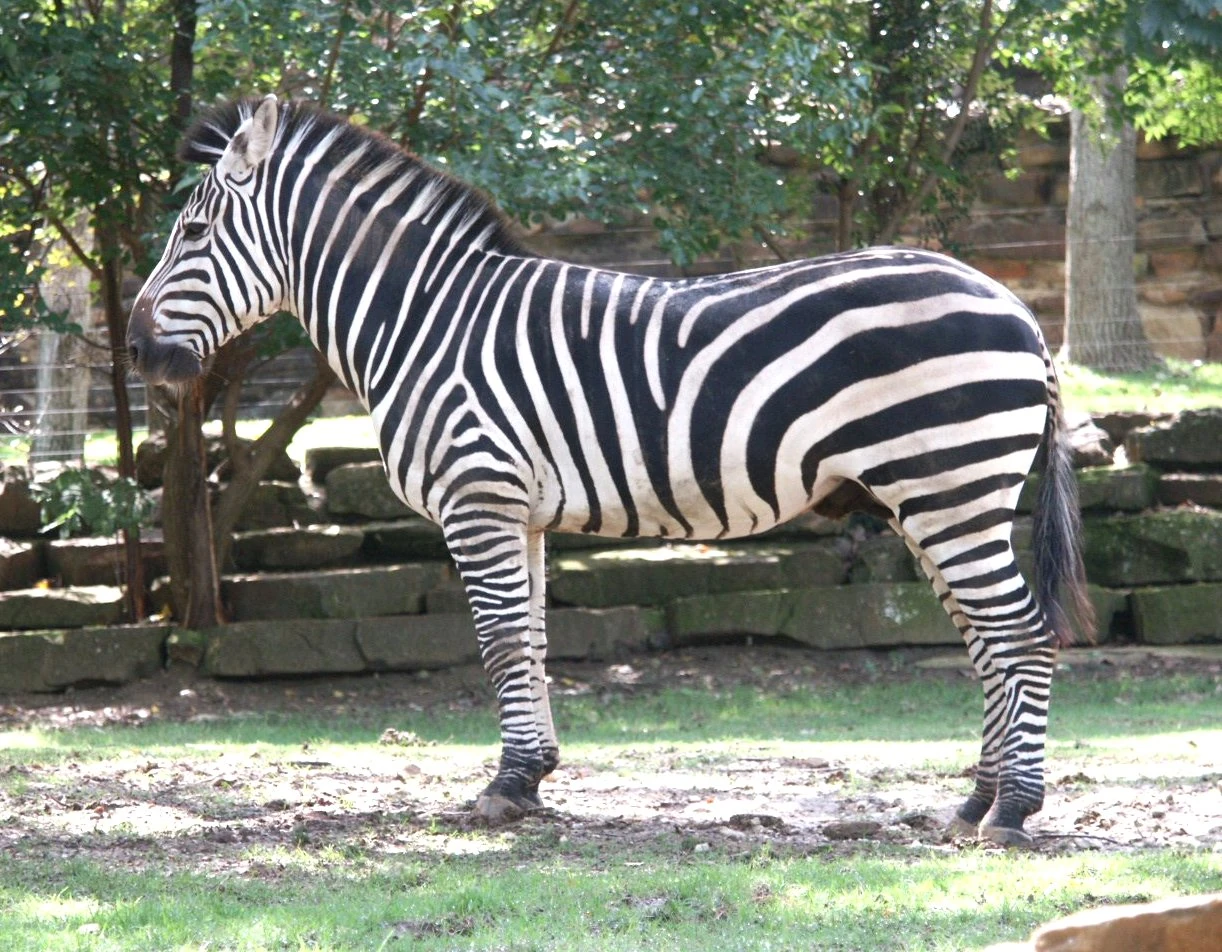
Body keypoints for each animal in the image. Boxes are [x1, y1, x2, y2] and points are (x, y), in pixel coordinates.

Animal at [128, 95, 1092, 847]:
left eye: (195, 231)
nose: (137, 352)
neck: (424, 320)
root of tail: (1016, 307)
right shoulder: (518, 511)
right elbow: (532, 639)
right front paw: (532, 775)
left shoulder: (477, 496)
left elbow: (498, 639)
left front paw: (504, 790)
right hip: (937, 496)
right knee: (983, 636)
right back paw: (973, 801)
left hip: (948, 487)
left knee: (1020, 631)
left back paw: (1014, 810)